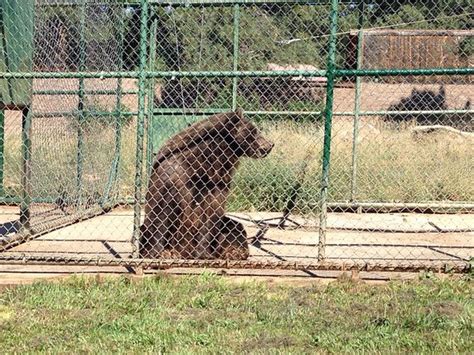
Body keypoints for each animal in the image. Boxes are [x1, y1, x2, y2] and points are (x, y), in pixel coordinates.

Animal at [139, 110, 274, 260]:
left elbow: (210, 217)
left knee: (233, 225)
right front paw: (158, 252)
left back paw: (235, 251)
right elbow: (162, 213)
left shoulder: (217, 185)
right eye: (253, 131)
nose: (269, 145)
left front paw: (204, 253)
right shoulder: (174, 179)